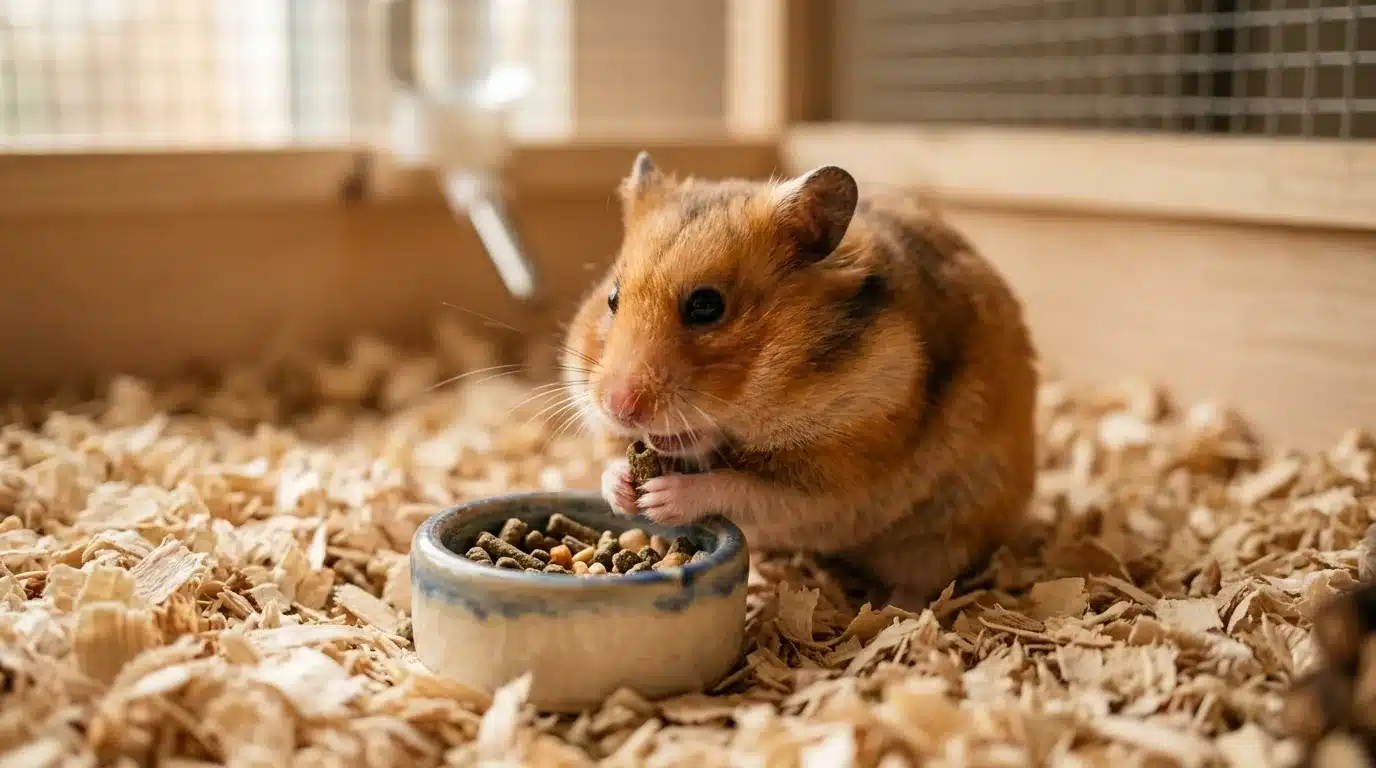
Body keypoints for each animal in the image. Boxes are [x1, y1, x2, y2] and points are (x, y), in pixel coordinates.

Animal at [561, 151, 1038, 611]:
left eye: (706, 306)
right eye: (612, 298)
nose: (618, 407)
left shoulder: (837, 477)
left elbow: (740, 487)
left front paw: (659, 498)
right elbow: (614, 462)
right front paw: (624, 489)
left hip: (948, 532)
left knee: (924, 581)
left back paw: (893, 611)